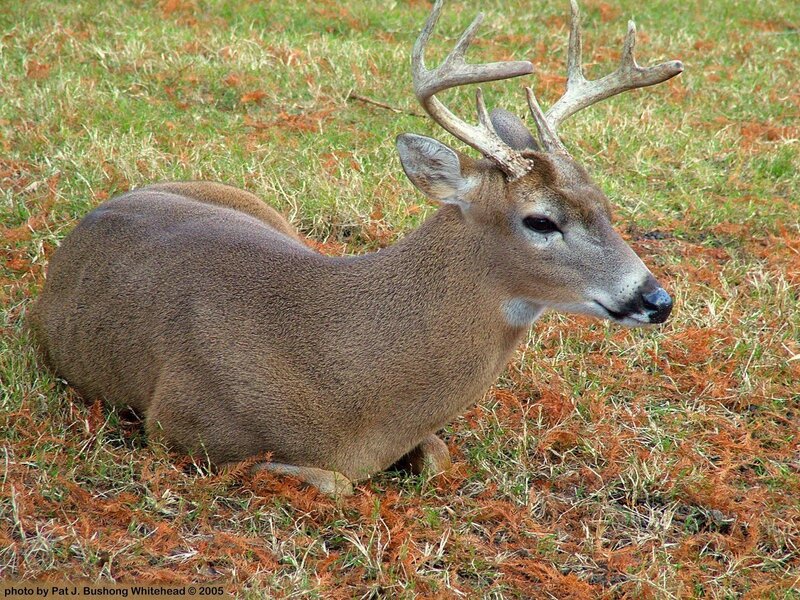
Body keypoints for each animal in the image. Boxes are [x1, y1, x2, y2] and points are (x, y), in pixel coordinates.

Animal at [29, 0, 682, 496]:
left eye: (605, 201)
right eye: (540, 221)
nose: (657, 299)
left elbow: (437, 457)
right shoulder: (176, 423)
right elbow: (337, 482)